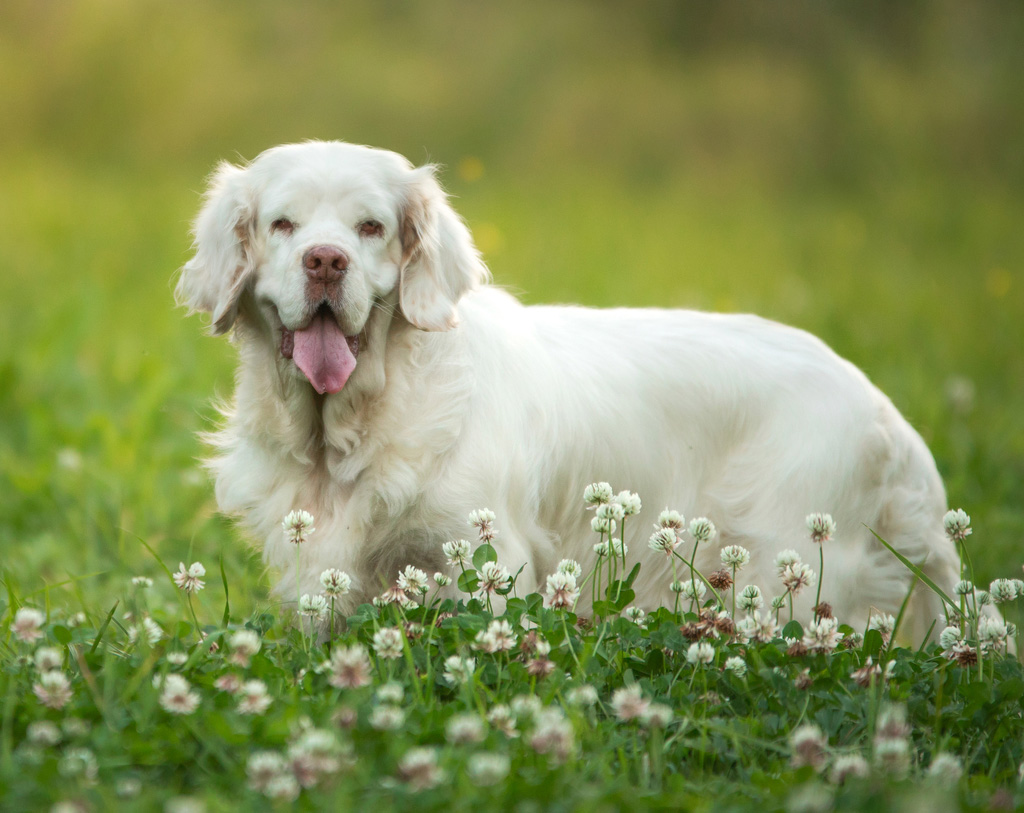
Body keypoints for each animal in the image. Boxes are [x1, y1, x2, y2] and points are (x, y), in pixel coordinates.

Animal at [178, 138, 958, 634]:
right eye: (282, 223)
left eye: (370, 227)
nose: (325, 261)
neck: (354, 425)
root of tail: (888, 413)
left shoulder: (489, 557)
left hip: (787, 567)